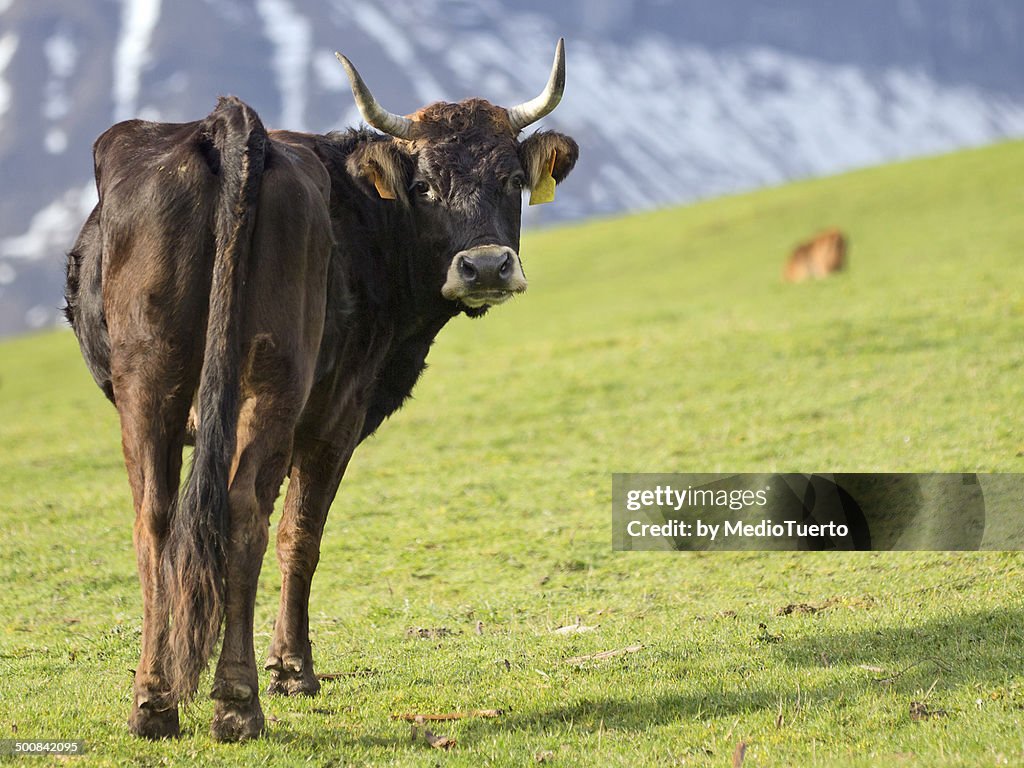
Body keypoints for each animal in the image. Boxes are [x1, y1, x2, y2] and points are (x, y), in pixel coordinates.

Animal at [64, 40, 577, 741]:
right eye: (423, 185)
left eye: (513, 180)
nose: (486, 267)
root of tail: (225, 126)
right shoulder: (339, 416)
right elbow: (301, 535)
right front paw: (293, 669)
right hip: (272, 383)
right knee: (246, 517)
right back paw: (238, 703)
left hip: (152, 377)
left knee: (158, 517)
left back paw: (154, 702)